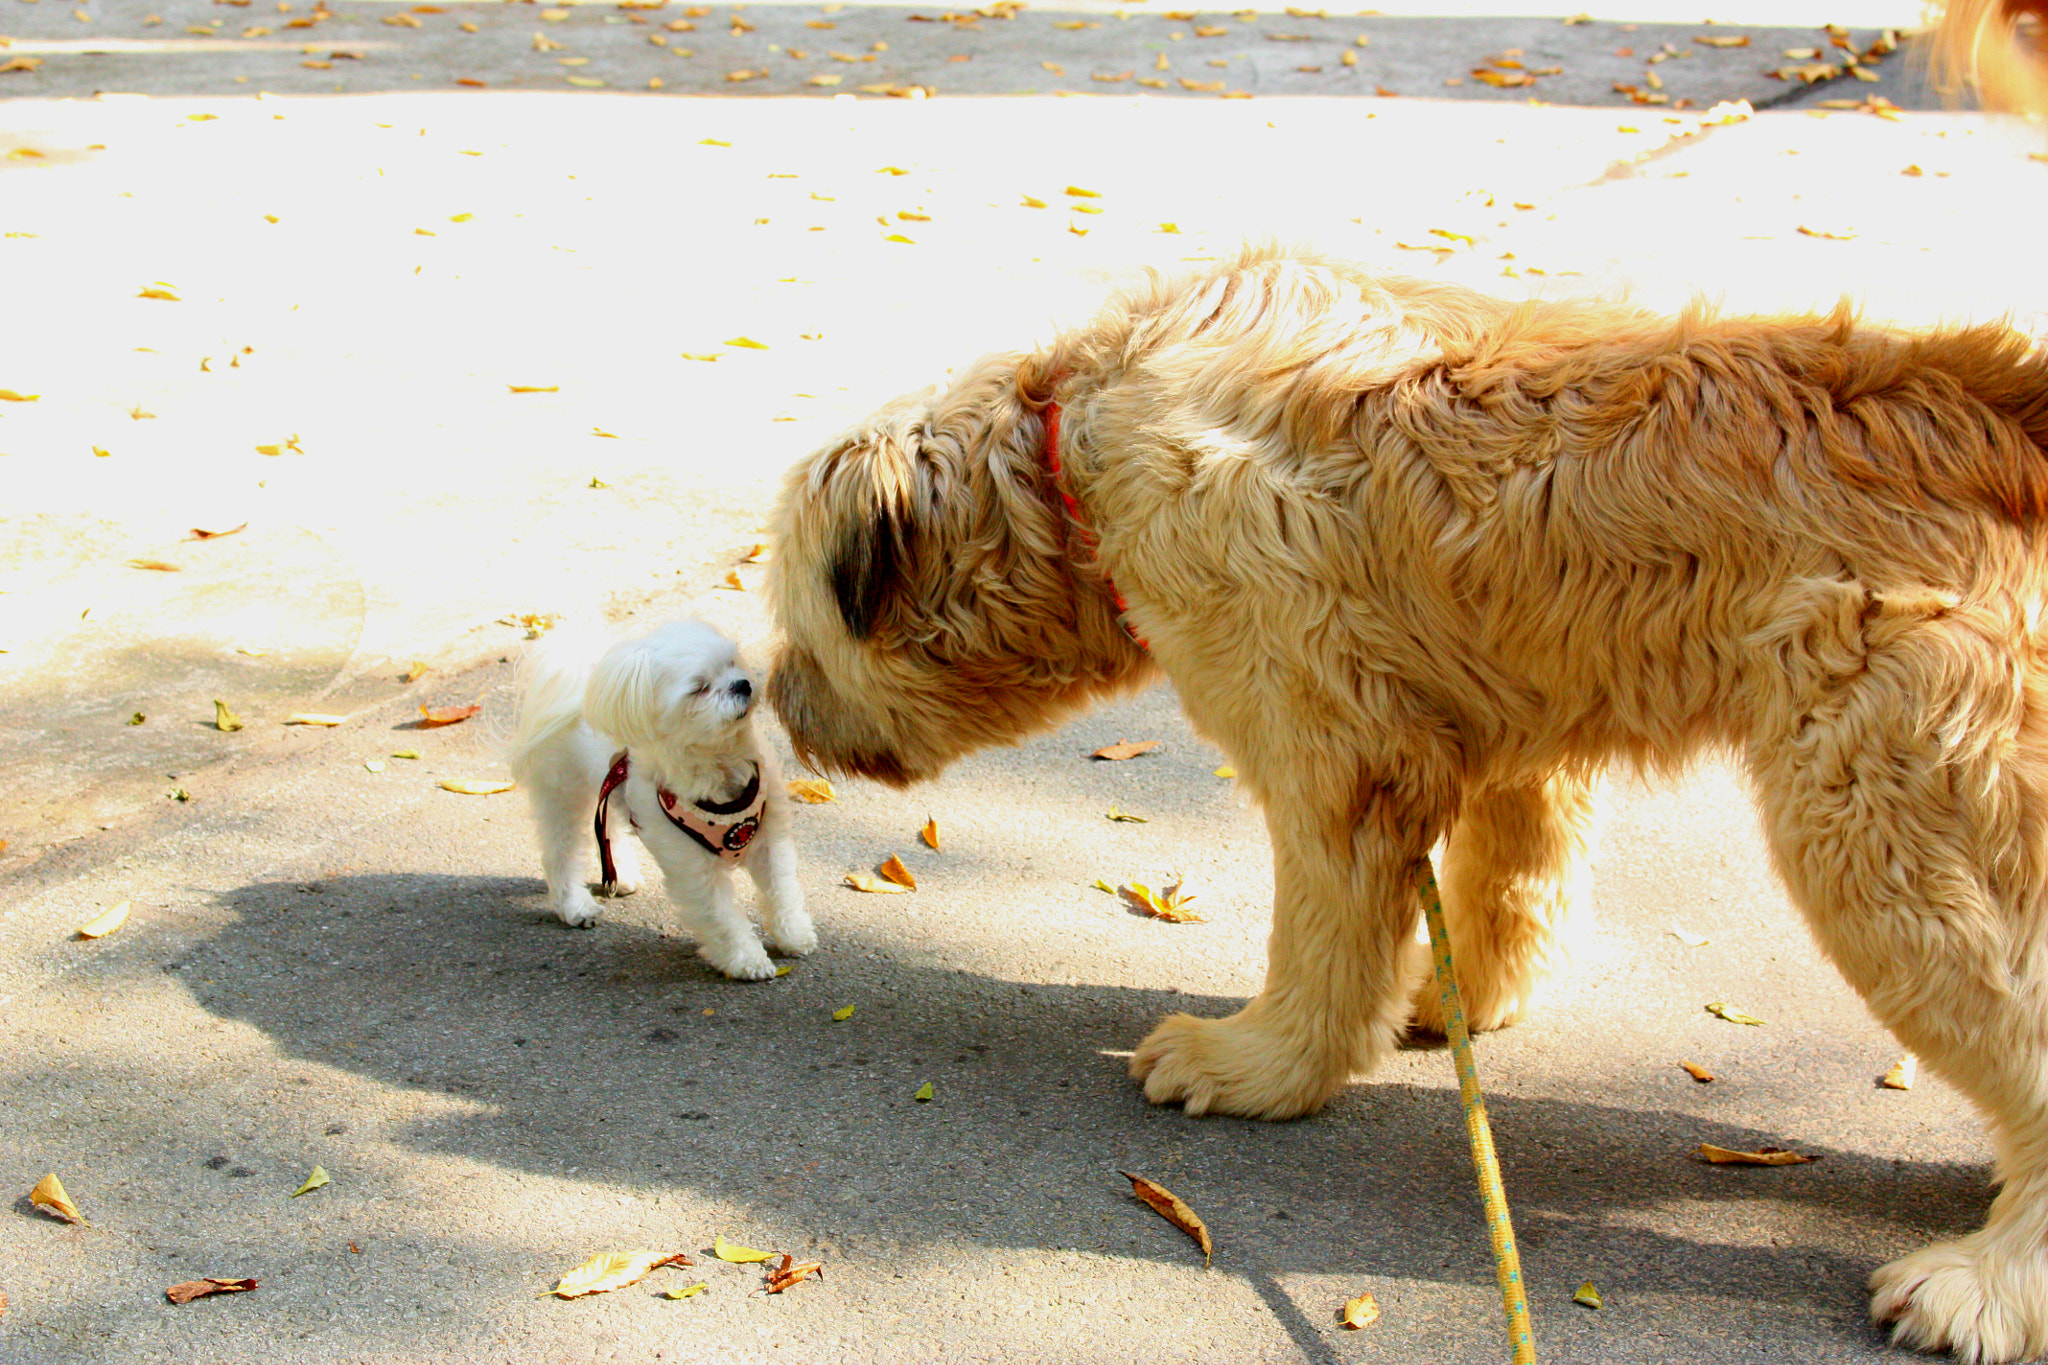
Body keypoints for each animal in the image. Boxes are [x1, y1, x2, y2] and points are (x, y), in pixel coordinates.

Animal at [507, 618, 811, 982]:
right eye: (699, 688)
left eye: (731, 662)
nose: (742, 684)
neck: (720, 767)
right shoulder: (693, 867)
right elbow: (721, 916)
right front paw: (746, 959)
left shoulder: (769, 839)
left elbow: (782, 889)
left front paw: (793, 933)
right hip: (561, 791)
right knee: (560, 850)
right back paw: (574, 905)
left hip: (609, 787)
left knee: (608, 826)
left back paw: (619, 874)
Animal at [765, 245, 2048, 1358]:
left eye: (799, 614)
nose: (773, 699)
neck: (1066, 452)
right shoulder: (1507, 729)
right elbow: (1512, 879)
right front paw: (1462, 999)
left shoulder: (1327, 743)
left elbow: (1323, 938)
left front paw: (1258, 1066)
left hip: (1881, 818)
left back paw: (1983, 1286)